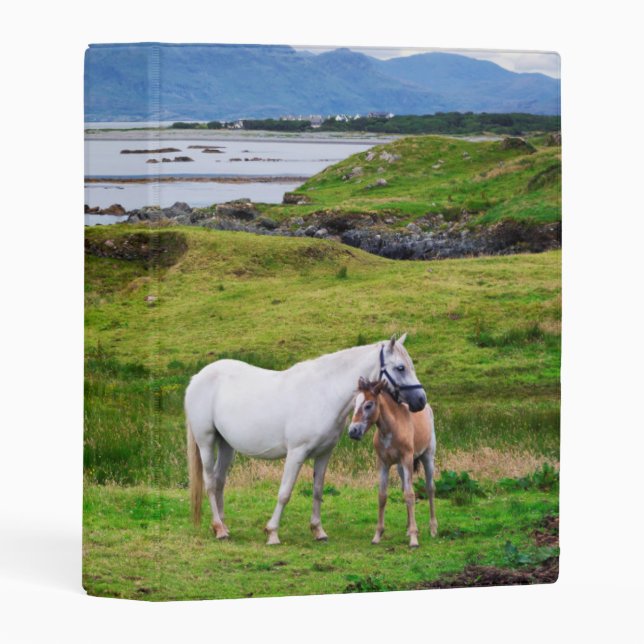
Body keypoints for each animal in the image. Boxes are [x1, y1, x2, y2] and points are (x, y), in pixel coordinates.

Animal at [185, 334, 427, 545]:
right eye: (400, 367)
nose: (421, 400)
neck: (325, 393)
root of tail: (197, 378)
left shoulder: (324, 453)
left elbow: (318, 490)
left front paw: (318, 531)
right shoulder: (296, 453)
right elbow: (285, 493)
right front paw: (272, 532)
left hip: (226, 445)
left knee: (219, 481)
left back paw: (222, 526)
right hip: (206, 442)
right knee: (209, 482)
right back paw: (219, 529)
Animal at [348, 377, 437, 547]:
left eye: (369, 405)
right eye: (355, 403)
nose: (353, 431)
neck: (391, 429)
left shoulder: (407, 458)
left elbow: (410, 495)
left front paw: (414, 539)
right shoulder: (383, 463)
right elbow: (382, 495)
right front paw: (377, 535)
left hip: (427, 457)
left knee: (430, 488)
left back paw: (433, 529)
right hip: (400, 467)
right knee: (404, 487)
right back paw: (408, 528)